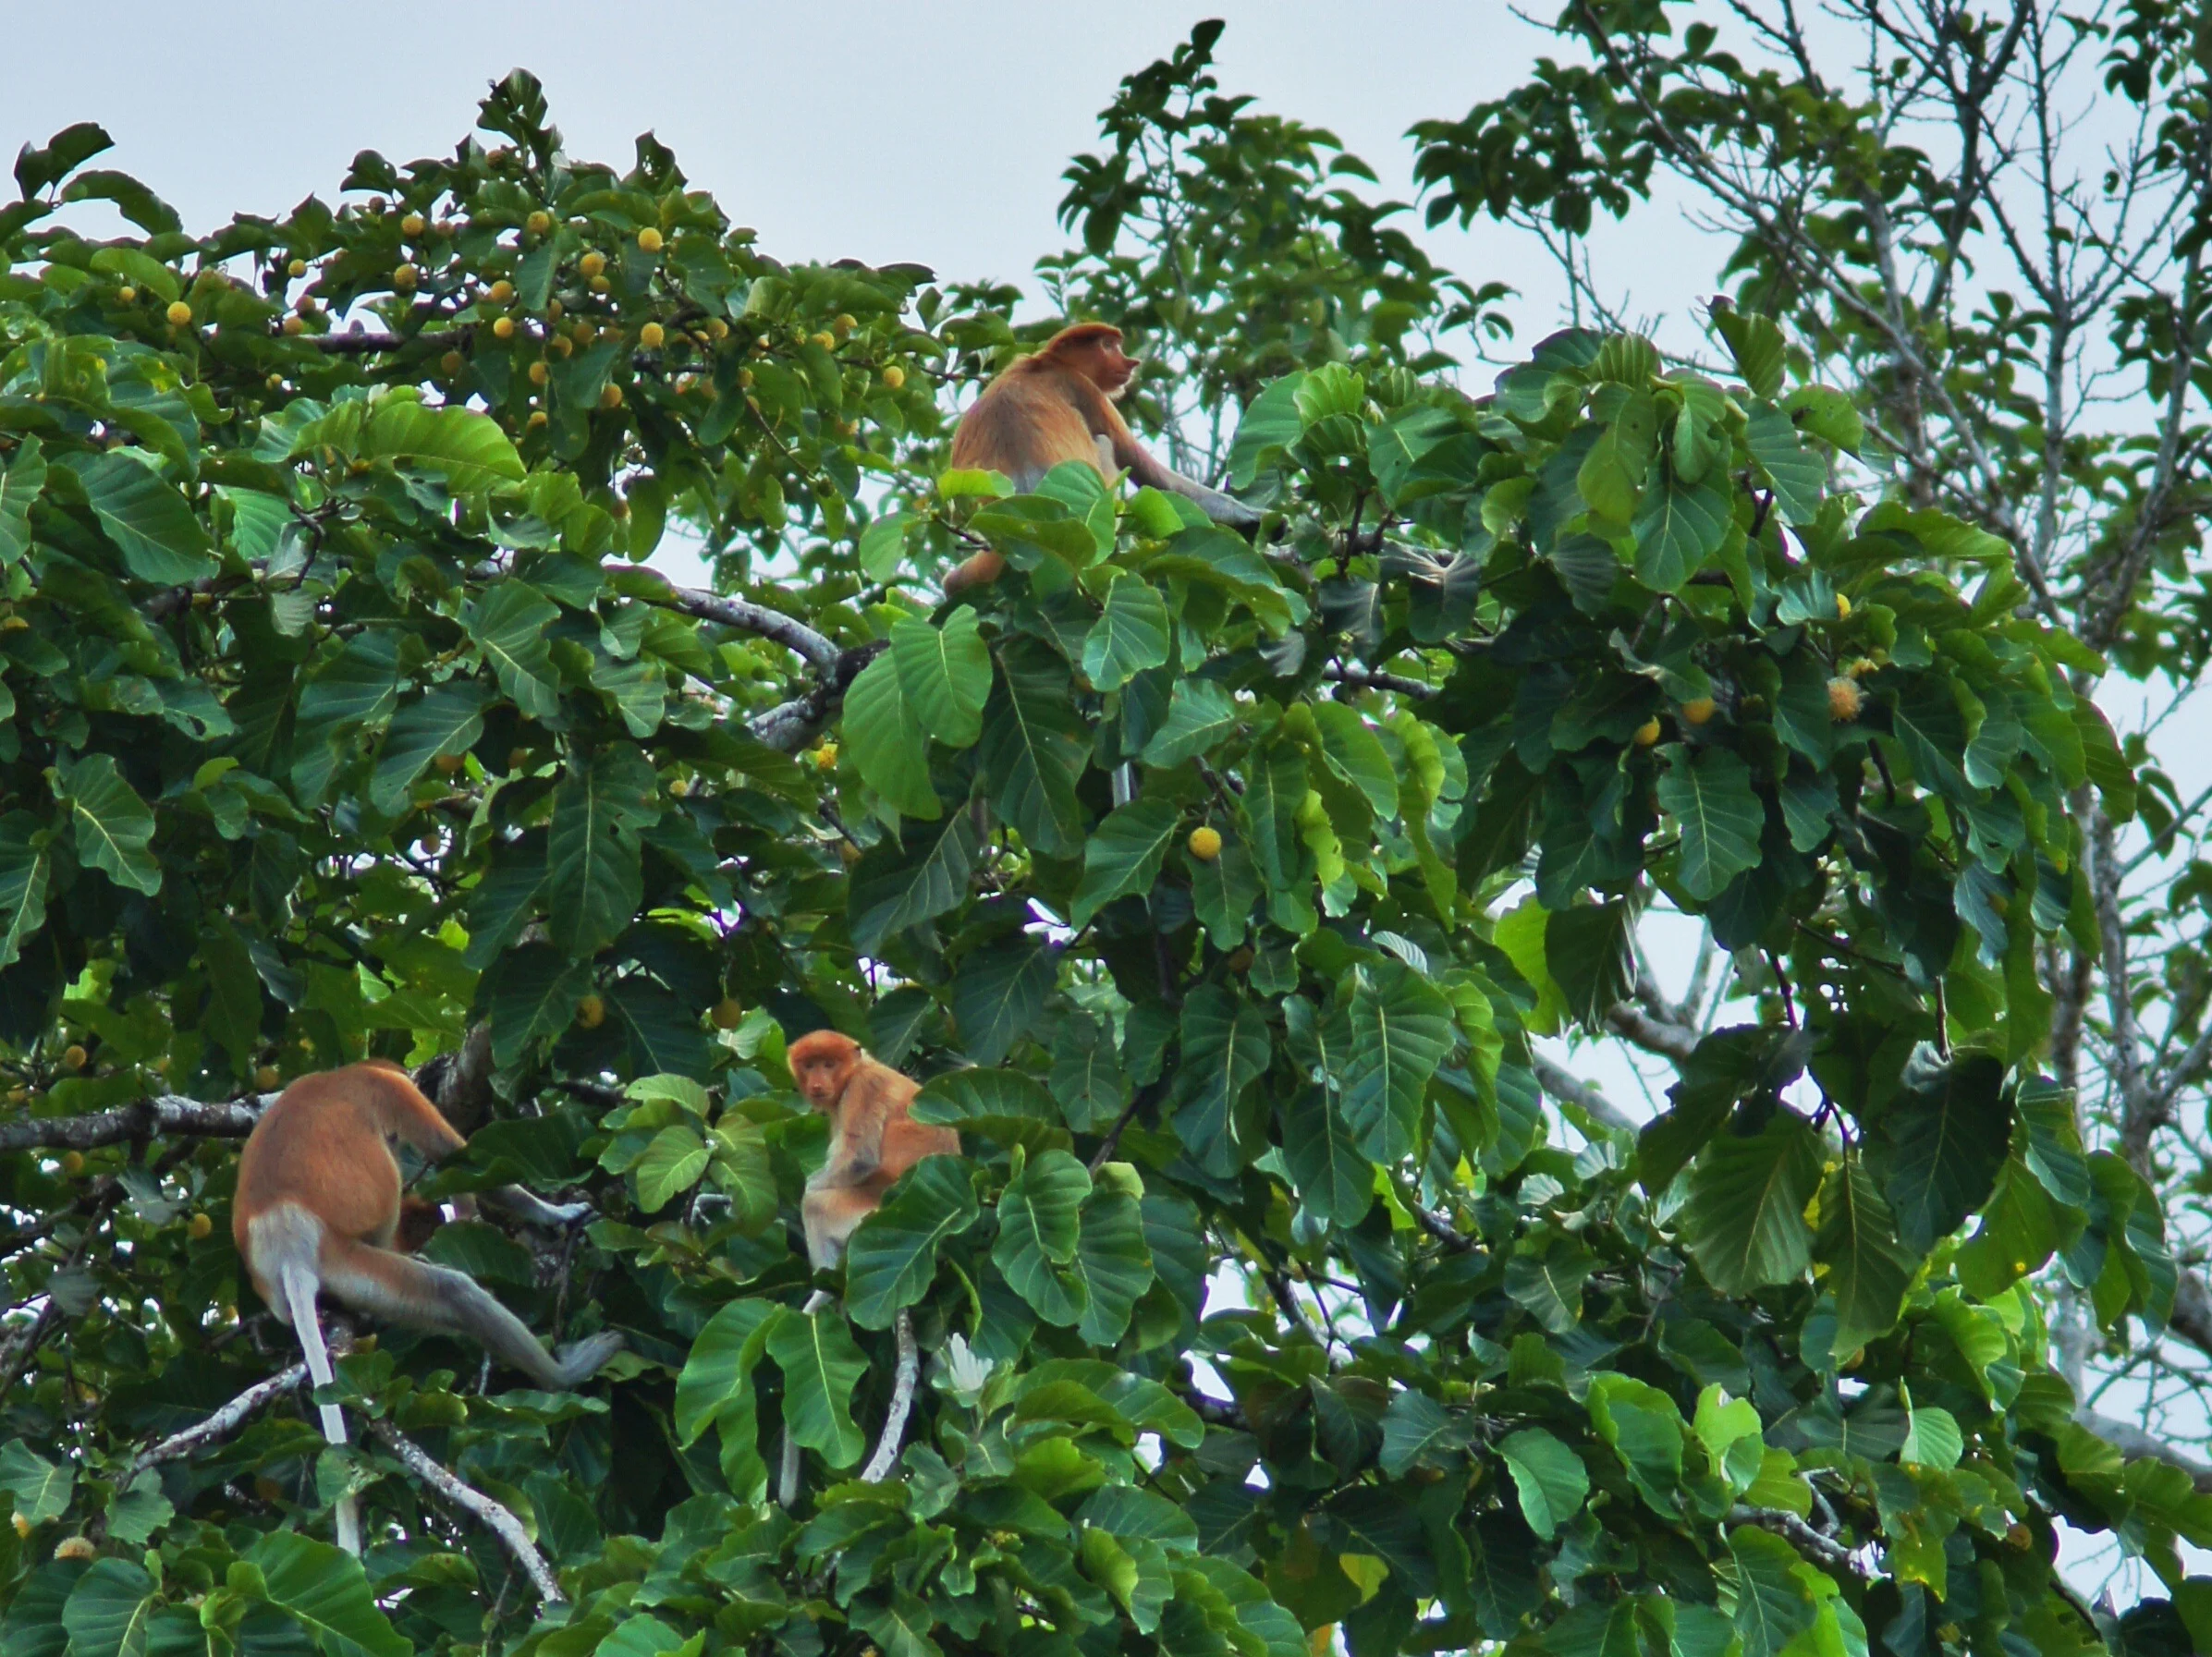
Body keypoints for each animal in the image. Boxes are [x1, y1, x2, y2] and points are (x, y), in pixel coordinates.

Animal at [232, 1062, 623, 1548]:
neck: (345, 1073)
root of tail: (286, 1247)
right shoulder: (393, 1091)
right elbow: (463, 1160)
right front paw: (560, 1214)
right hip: (344, 1260)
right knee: (453, 1292)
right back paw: (566, 1373)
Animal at [942, 321, 1265, 597]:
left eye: (1115, 345)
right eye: (1107, 345)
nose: (1130, 363)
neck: (1046, 363)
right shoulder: (1085, 389)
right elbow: (1149, 471)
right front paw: (1251, 516)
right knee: (1105, 443)